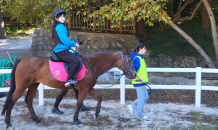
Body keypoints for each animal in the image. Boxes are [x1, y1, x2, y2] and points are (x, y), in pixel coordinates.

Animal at [0, 47, 136, 129]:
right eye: (129, 60)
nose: (134, 74)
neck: (91, 64)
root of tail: (21, 59)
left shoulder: (88, 88)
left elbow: (99, 97)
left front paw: (96, 113)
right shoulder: (84, 89)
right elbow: (79, 103)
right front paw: (76, 120)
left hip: (33, 85)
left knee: (28, 100)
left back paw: (36, 119)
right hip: (21, 86)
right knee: (11, 101)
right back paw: (8, 123)